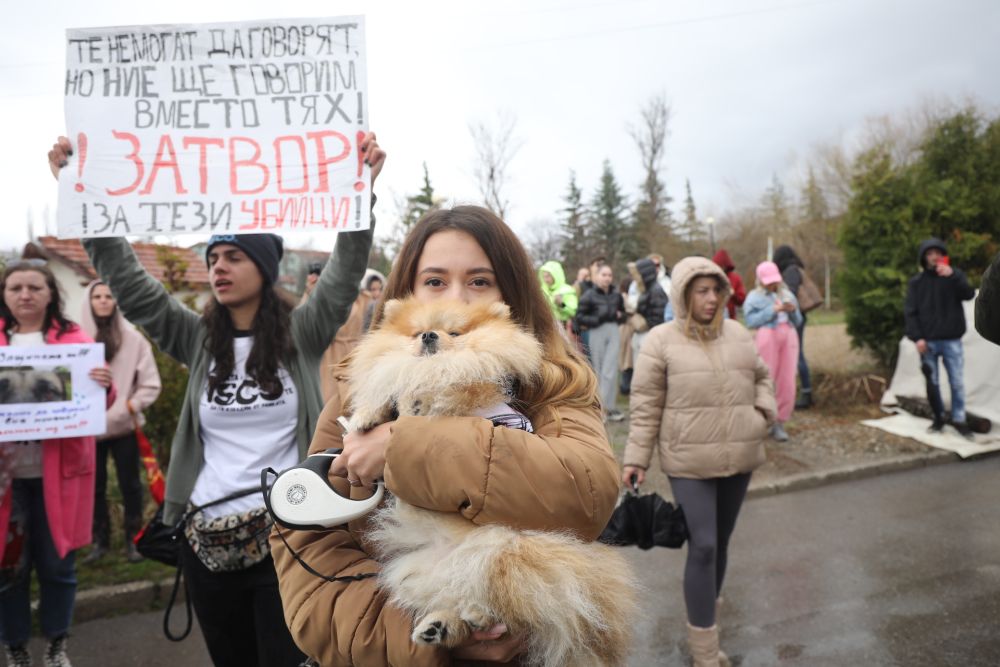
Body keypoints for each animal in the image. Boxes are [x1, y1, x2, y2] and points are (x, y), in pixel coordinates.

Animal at [348, 300, 636, 667]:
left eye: (454, 332)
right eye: (417, 332)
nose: (429, 336)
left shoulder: (476, 391)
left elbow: (454, 391)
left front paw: (420, 402)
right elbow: (387, 389)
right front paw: (365, 416)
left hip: (507, 550)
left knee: (506, 608)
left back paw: (479, 615)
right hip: (419, 571)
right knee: (456, 599)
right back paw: (441, 626)